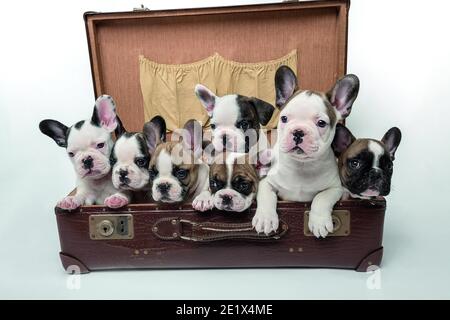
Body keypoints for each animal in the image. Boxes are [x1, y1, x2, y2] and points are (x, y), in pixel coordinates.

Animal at [251, 65, 360, 238]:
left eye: (321, 123)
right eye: (284, 119)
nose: (298, 132)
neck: (302, 165)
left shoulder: (335, 188)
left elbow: (321, 197)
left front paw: (319, 222)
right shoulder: (266, 182)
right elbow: (266, 195)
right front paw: (265, 218)